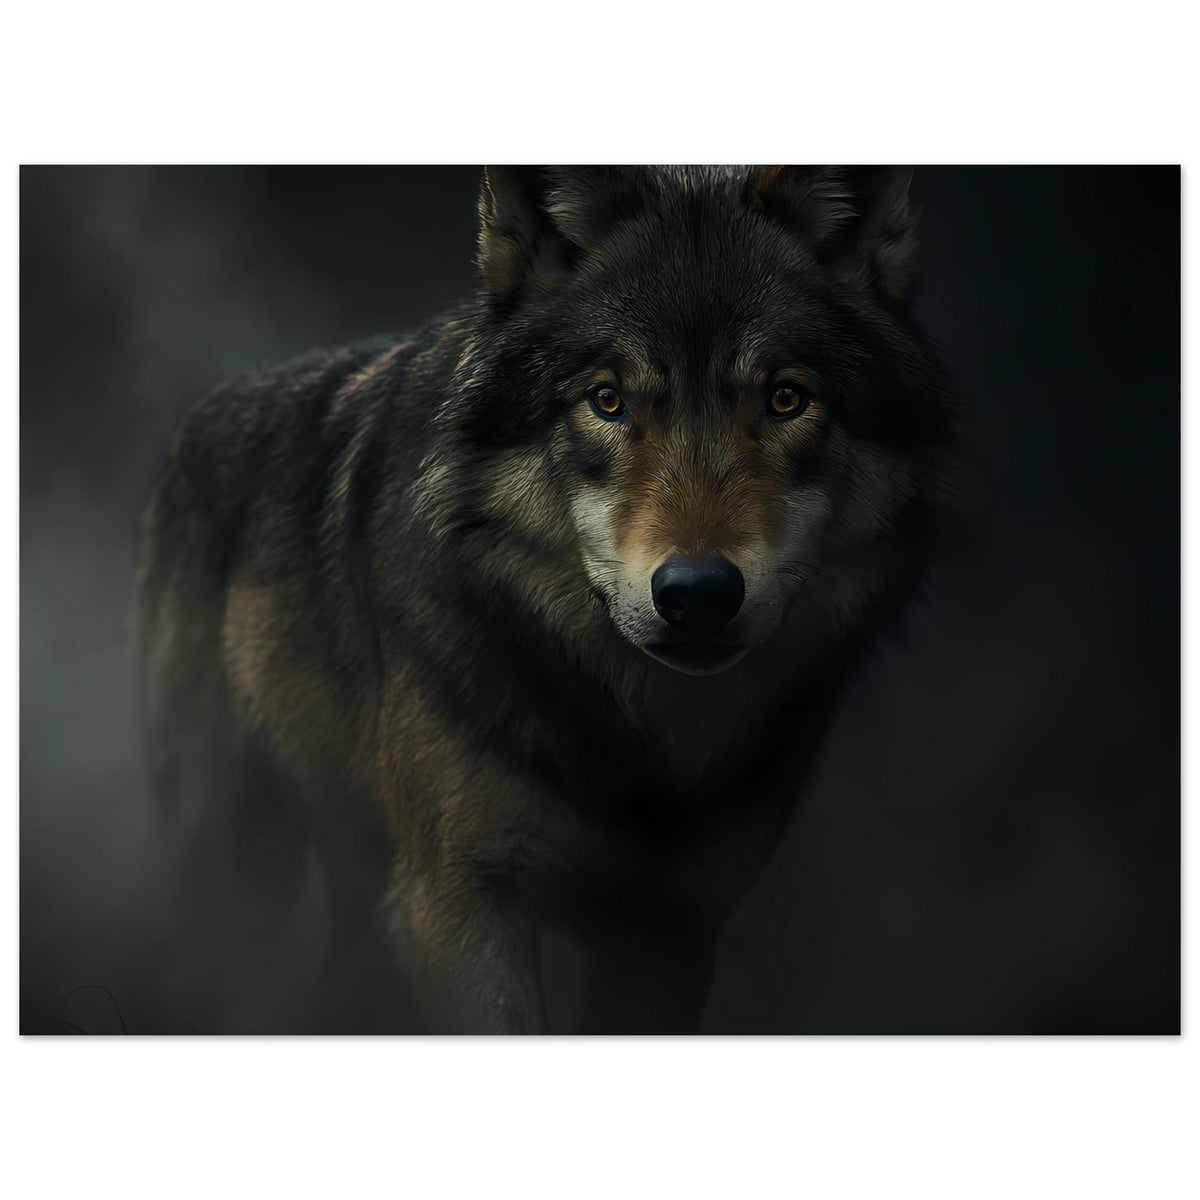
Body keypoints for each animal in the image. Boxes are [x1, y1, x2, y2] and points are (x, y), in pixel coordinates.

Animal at [133, 166, 954, 1033]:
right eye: (607, 400)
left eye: (786, 400)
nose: (698, 592)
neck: (636, 740)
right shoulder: (456, 905)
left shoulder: (667, 932)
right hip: (224, 847)